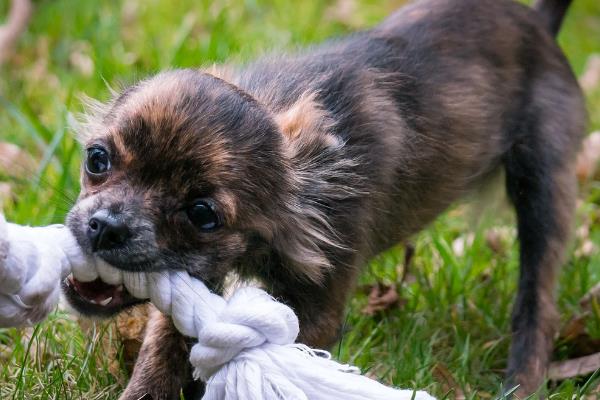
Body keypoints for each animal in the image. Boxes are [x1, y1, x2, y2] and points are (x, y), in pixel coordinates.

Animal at [63, 0, 584, 398]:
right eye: (97, 159)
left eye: (202, 215)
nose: (106, 226)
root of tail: (539, 25)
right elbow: (161, 351)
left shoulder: (317, 309)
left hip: (543, 189)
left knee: (538, 301)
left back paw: (522, 381)